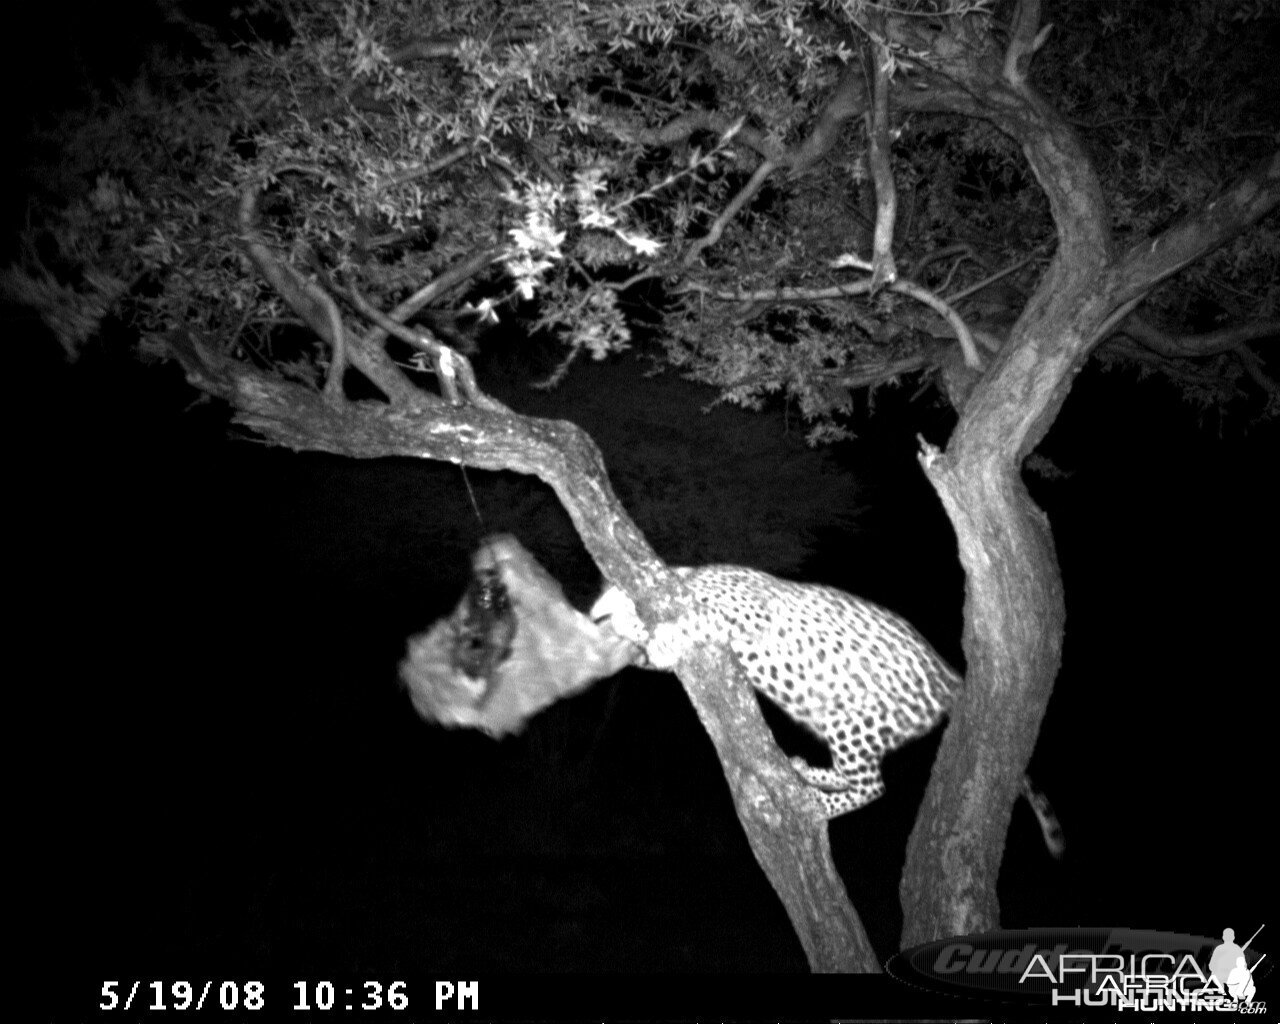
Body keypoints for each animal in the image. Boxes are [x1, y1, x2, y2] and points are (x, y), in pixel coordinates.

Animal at [588, 563, 1059, 849]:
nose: (594, 617)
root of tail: (952, 678)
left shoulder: (750, 612)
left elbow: (699, 618)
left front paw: (653, 632)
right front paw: (640, 641)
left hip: (856, 721)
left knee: (873, 786)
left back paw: (815, 800)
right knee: (859, 778)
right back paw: (804, 772)